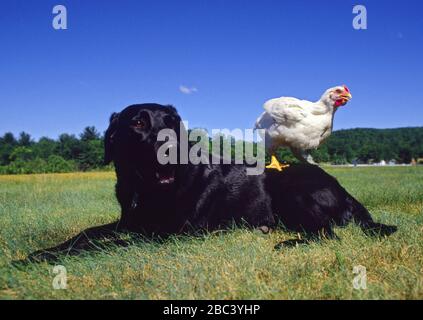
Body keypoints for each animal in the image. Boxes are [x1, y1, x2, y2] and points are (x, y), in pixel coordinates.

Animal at [28, 104, 396, 262]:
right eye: (138, 123)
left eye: (174, 122)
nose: (172, 146)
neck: (146, 189)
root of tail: (345, 190)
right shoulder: (129, 221)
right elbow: (85, 234)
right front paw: (39, 253)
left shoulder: (170, 234)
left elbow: (109, 244)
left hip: (290, 188)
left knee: (328, 234)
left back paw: (285, 243)